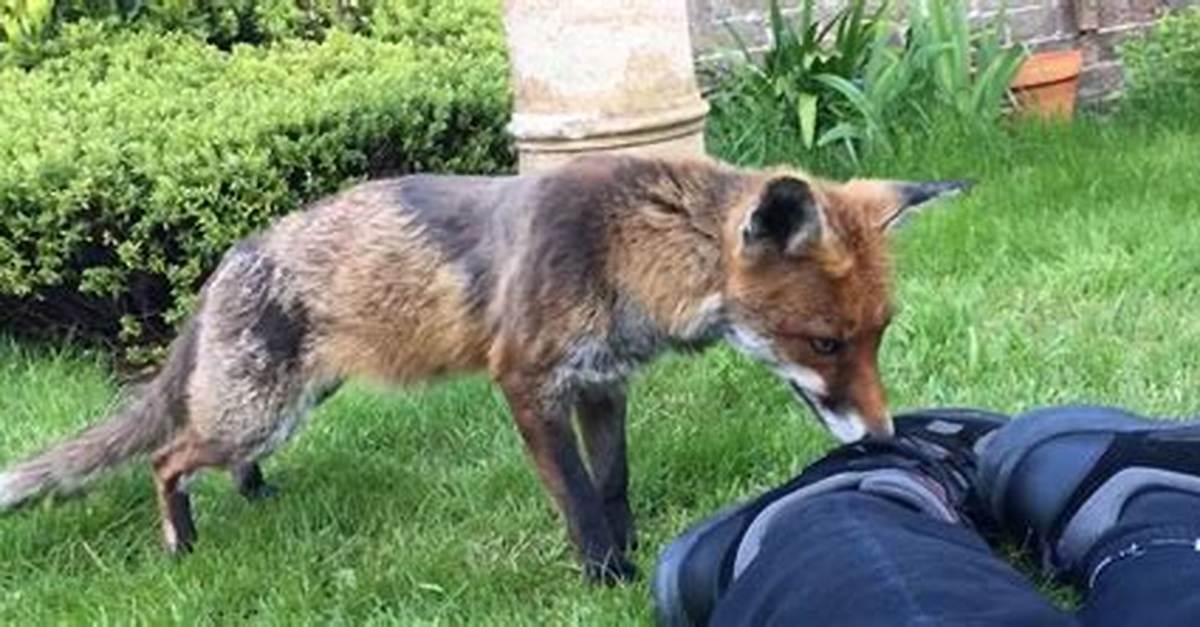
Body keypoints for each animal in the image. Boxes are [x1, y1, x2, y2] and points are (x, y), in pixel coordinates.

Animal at [0, 154, 967, 583]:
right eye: (825, 343)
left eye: (879, 335)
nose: (886, 434)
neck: (630, 254)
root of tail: (228, 261)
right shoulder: (529, 385)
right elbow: (578, 498)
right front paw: (605, 580)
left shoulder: (601, 385)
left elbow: (614, 486)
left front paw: (627, 553)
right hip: (256, 406)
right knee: (168, 458)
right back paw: (183, 538)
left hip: (293, 400)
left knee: (220, 457)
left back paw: (256, 493)